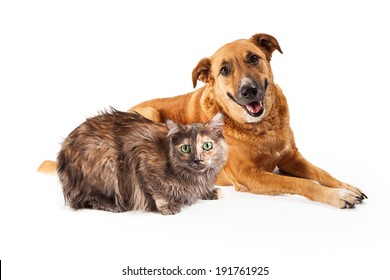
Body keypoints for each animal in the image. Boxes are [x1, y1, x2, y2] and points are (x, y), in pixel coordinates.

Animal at [56, 108, 227, 215]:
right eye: (185, 148)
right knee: (86, 198)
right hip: (105, 161)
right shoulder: (143, 158)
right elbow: (156, 189)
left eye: (207, 146)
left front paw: (209, 192)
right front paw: (167, 205)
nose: (197, 159)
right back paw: (113, 205)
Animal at [130, 33, 366, 208]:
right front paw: (337, 195)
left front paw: (345, 186)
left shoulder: (290, 158)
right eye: (224, 70)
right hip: (149, 113)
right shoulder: (250, 176)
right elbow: (300, 183)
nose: (249, 90)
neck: (264, 127)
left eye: (253, 58)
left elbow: (320, 172)